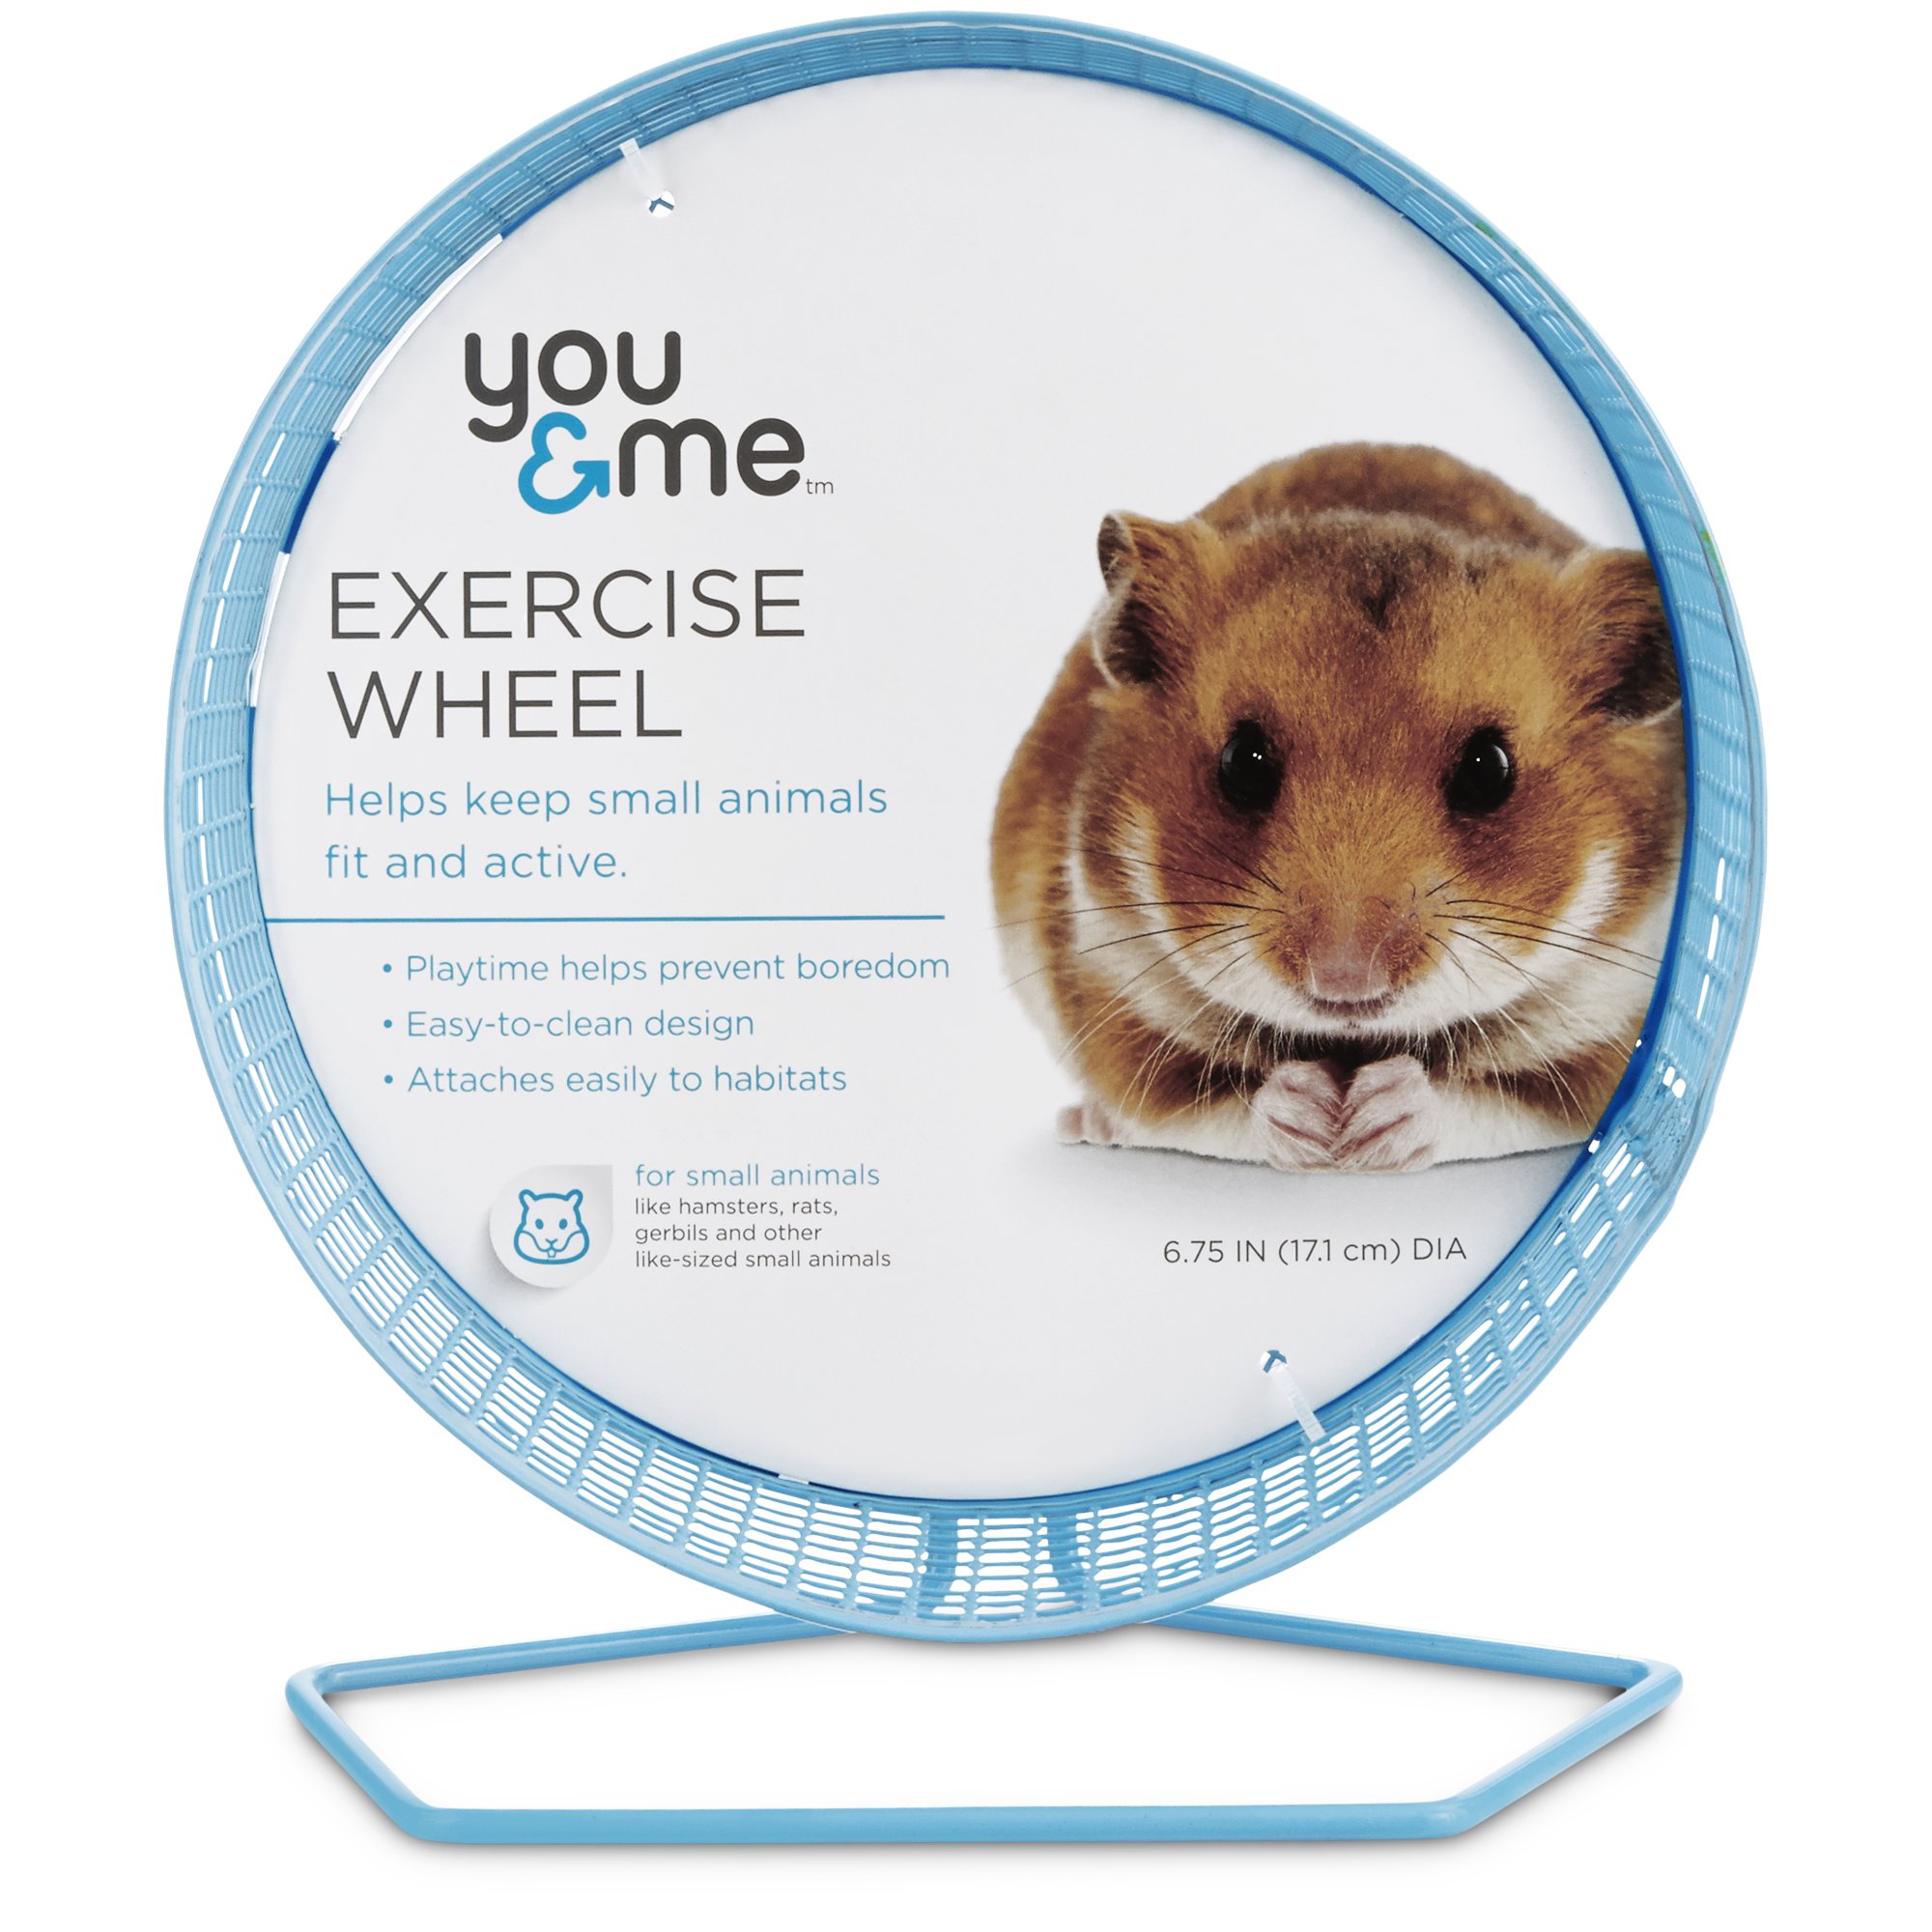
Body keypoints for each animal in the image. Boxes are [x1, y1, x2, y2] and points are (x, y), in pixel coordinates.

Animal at [991, 444, 1684, 1172]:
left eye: (1488, 770)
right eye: (1242, 763)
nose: (1345, 976)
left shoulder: (1609, 1019)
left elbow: (1496, 1102)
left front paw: (1370, 1123)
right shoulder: (1113, 993)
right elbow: (1207, 1103)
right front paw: (1319, 1122)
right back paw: (1083, 1122)